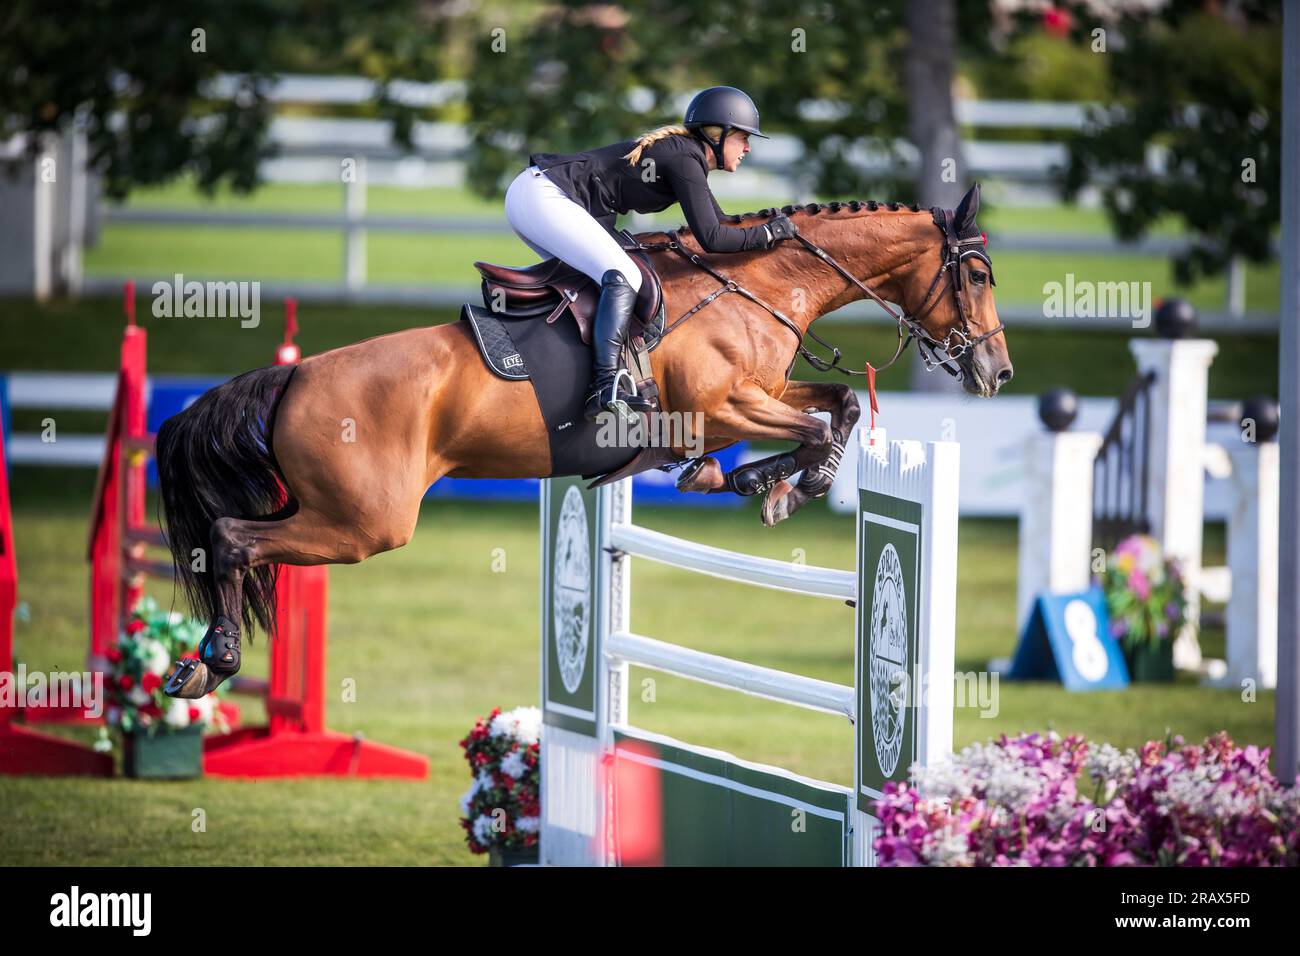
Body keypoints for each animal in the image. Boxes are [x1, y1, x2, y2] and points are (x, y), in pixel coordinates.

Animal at [152, 183, 1003, 697]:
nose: (997, 370)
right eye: (979, 275)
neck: (756, 285)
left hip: (335, 514)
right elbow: (815, 425)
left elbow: (838, 406)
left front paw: (757, 482)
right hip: (364, 523)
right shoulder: (723, 405)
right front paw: (778, 485)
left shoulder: (759, 393)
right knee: (230, 538)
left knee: (232, 538)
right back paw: (213, 662)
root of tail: (292, 377)